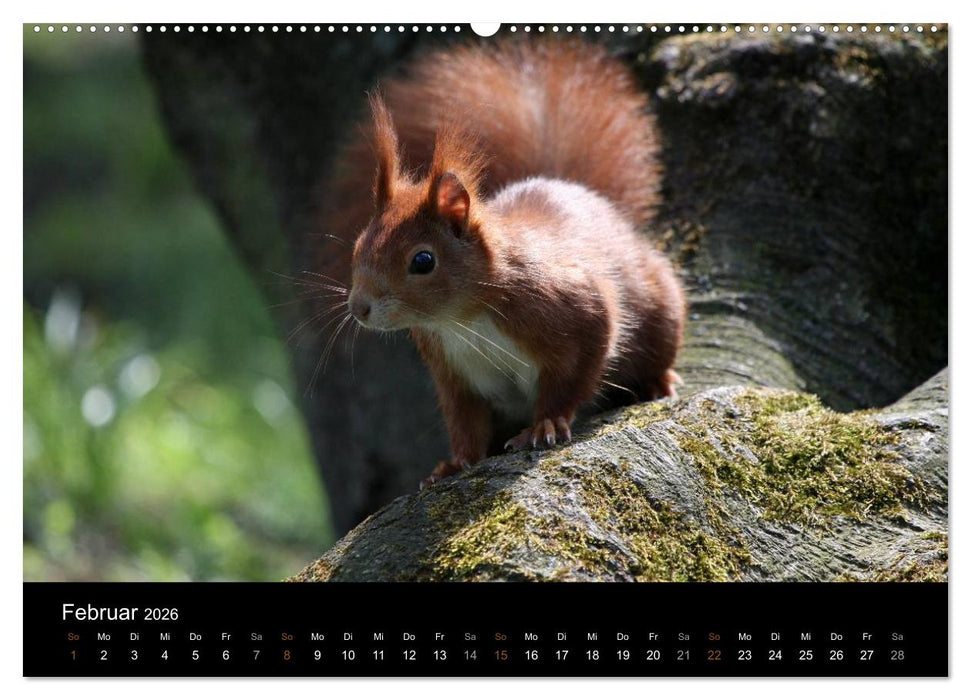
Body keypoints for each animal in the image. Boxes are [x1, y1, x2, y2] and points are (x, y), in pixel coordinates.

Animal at [330, 39, 686, 488]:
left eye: (423, 260)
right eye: (359, 245)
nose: (358, 308)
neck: (463, 318)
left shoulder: (574, 308)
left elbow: (574, 374)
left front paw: (546, 423)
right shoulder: (452, 371)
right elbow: (464, 420)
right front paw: (456, 462)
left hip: (661, 306)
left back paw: (658, 379)